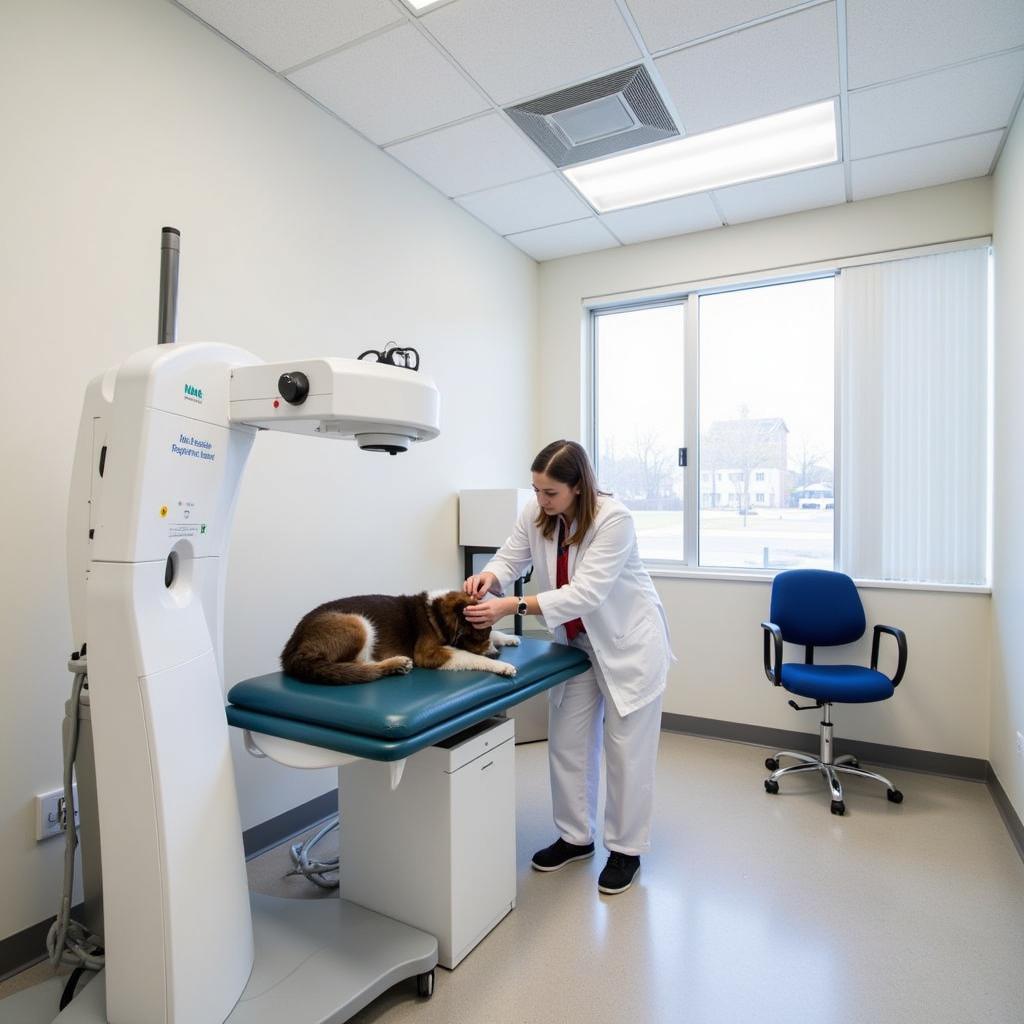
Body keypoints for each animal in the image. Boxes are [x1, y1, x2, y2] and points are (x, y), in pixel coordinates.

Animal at [280, 589, 520, 684]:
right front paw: (502, 666)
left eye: (487, 632)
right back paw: (396, 663)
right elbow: (471, 656)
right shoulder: (427, 653)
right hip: (357, 623)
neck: (435, 613)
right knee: (359, 666)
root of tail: (290, 650)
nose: (497, 654)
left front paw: (509, 638)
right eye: (477, 636)